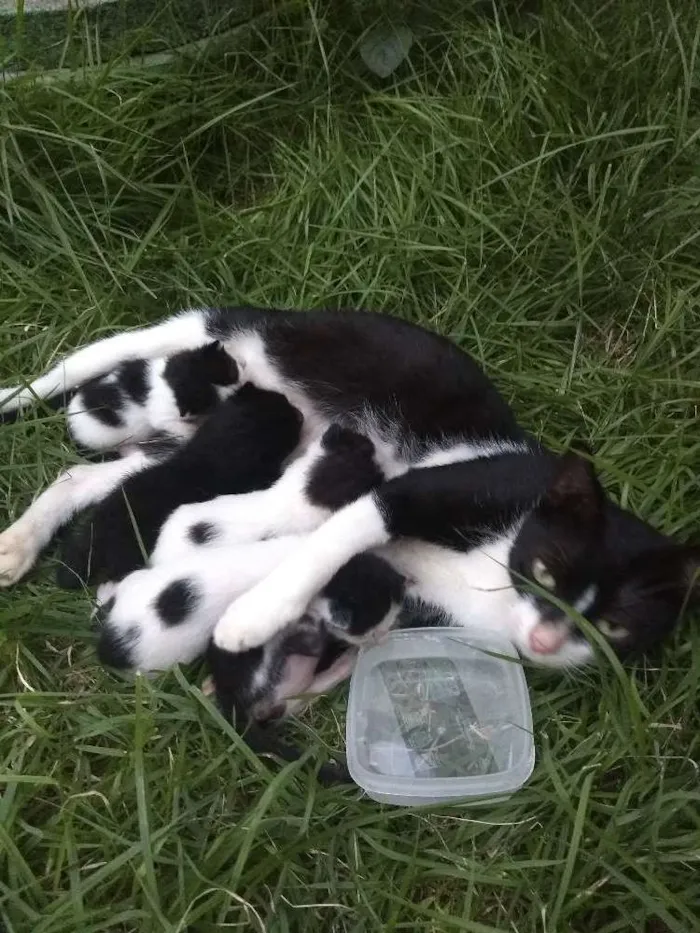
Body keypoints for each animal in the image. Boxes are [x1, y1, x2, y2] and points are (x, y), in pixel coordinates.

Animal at [0, 308, 696, 668]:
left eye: (615, 626)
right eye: (547, 572)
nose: (547, 640)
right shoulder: (438, 488)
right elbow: (337, 535)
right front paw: (251, 617)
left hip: (200, 442)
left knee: (88, 475)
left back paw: (24, 546)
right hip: (210, 336)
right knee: (83, 358)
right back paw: (13, 399)